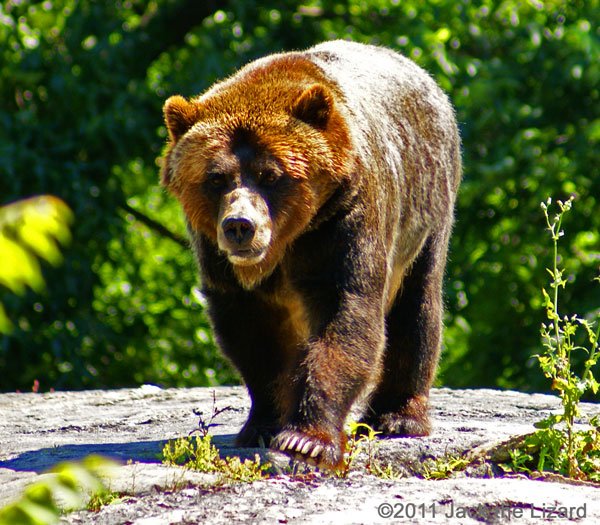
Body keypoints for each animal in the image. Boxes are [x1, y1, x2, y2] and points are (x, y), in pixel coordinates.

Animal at [158, 39, 460, 468]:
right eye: (216, 178)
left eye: (270, 175)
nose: (240, 225)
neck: (286, 243)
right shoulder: (219, 259)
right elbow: (252, 338)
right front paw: (262, 424)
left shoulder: (342, 220)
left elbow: (345, 311)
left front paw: (307, 438)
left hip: (427, 204)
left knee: (417, 308)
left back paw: (399, 416)